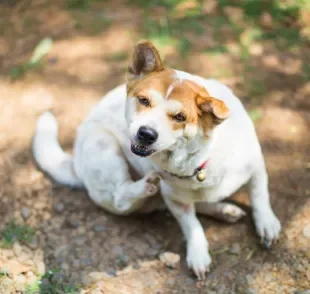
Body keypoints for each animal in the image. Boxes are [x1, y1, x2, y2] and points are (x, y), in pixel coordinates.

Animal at [33, 40, 280, 280]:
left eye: (180, 117)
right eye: (143, 100)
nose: (146, 133)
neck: (199, 162)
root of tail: (75, 162)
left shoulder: (256, 166)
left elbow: (260, 196)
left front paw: (266, 223)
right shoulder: (175, 200)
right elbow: (192, 225)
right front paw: (198, 254)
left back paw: (224, 210)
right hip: (103, 147)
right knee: (121, 197)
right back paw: (145, 186)